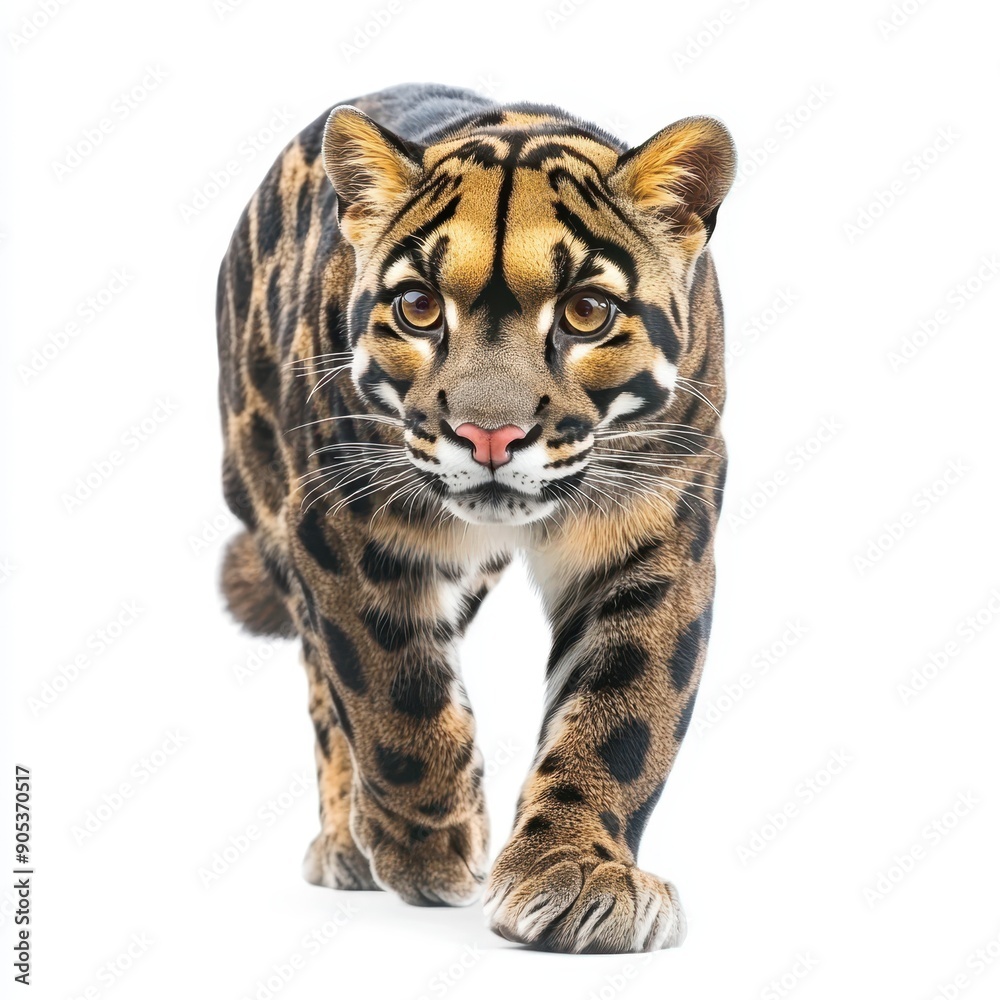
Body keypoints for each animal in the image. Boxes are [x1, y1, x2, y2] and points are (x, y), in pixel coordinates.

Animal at [215, 82, 735, 954]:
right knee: (326, 688)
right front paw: (429, 847)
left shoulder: (658, 531)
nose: (489, 434)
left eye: (586, 312)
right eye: (419, 308)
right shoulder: (341, 520)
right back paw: (348, 841)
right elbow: (390, 693)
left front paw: (580, 872)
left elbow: (623, 712)